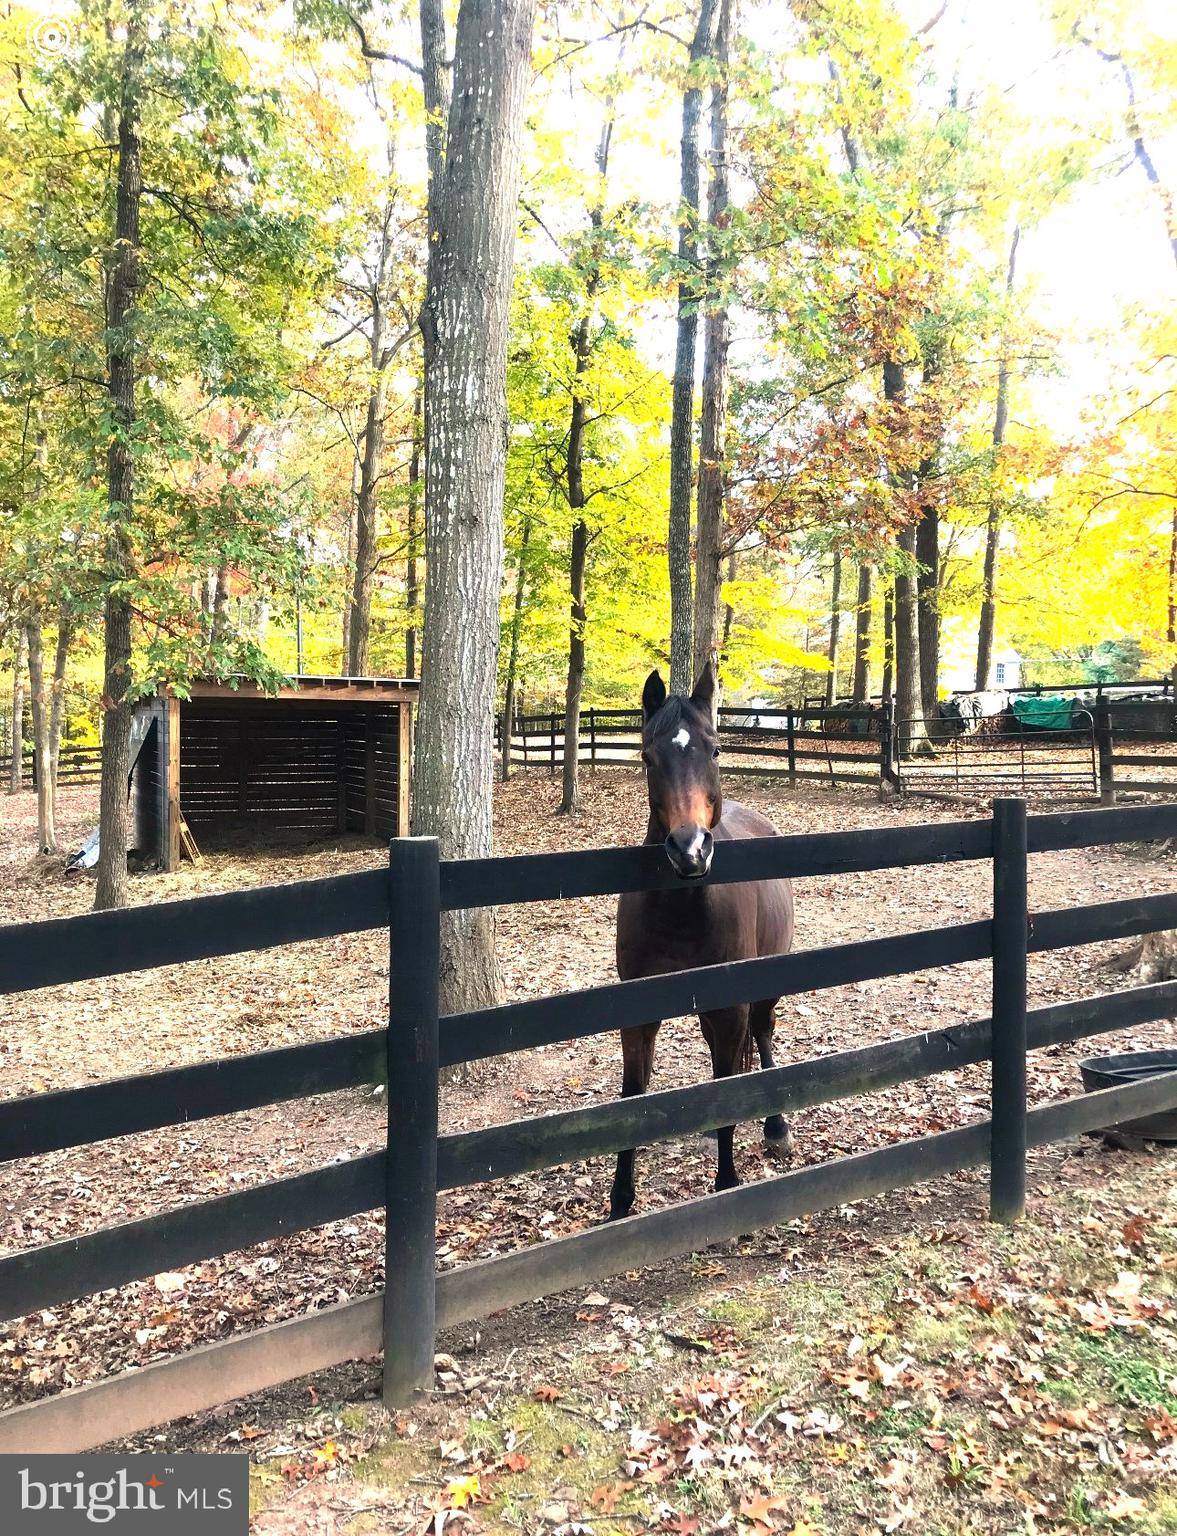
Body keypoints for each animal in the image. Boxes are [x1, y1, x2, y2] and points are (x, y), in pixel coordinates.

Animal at [614, 666, 799, 1216]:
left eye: (715, 749)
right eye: (648, 756)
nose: (690, 849)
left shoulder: (729, 1007)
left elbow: (725, 1085)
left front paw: (727, 1183)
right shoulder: (638, 1011)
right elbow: (633, 1095)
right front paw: (620, 1202)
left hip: (762, 989)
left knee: (761, 1033)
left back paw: (776, 1128)